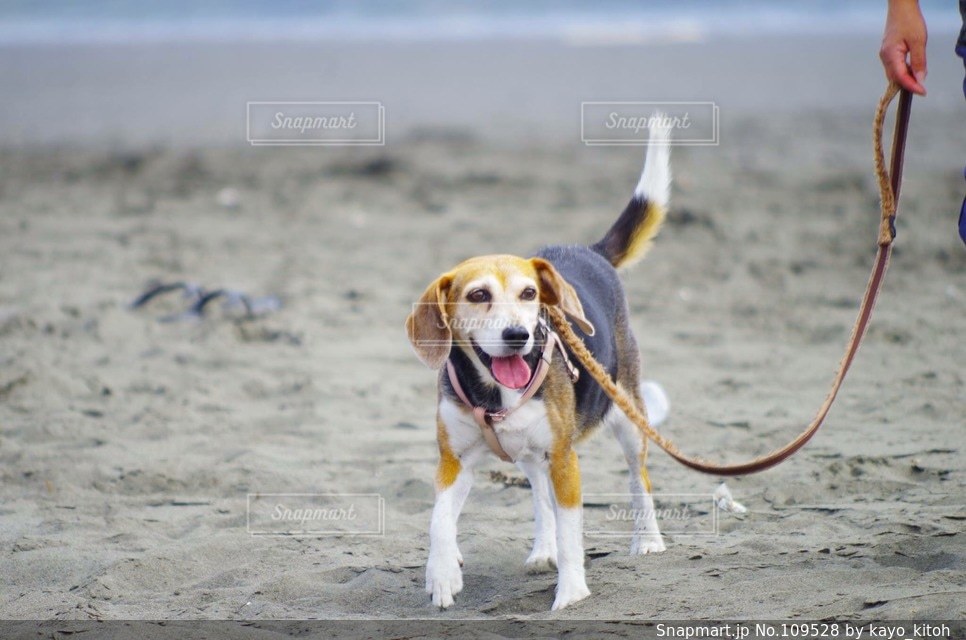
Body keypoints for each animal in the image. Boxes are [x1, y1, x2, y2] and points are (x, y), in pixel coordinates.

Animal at [408, 124, 672, 608]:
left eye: (529, 294)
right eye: (478, 295)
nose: (518, 335)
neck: (494, 393)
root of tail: (589, 252)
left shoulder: (565, 460)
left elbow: (572, 535)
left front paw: (571, 593)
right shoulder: (455, 460)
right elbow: (439, 520)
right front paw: (442, 574)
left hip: (627, 414)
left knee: (638, 478)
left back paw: (647, 540)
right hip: (532, 453)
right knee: (539, 495)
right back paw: (542, 549)